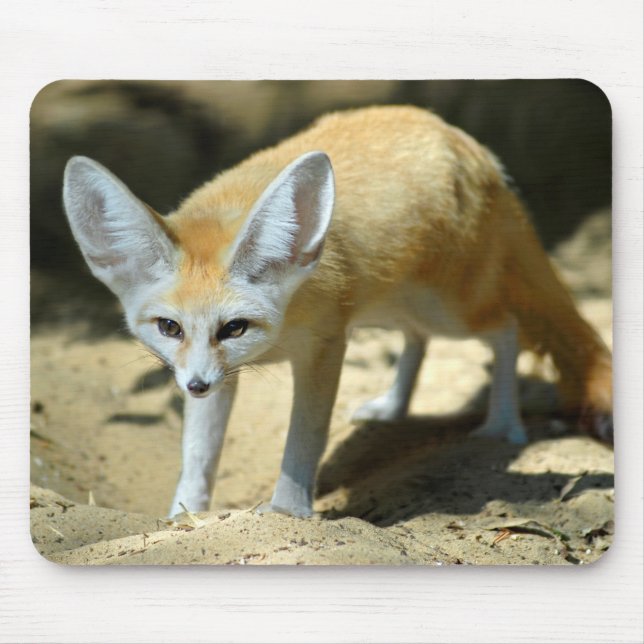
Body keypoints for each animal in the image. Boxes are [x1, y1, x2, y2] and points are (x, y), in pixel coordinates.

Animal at [62, 105, 613, 518]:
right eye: (169, 327)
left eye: (234, 327)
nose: (195, 386)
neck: (283, 325)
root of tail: (458, 137)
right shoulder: (222, 374)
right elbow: (199, 455)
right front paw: (184, 517)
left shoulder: (325, 347)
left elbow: (304, 439)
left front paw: (288, 511)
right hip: (388, 307)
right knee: (417, 338)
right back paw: (393, 407)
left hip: (447, 309)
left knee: (506, 328)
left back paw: (502, 424)